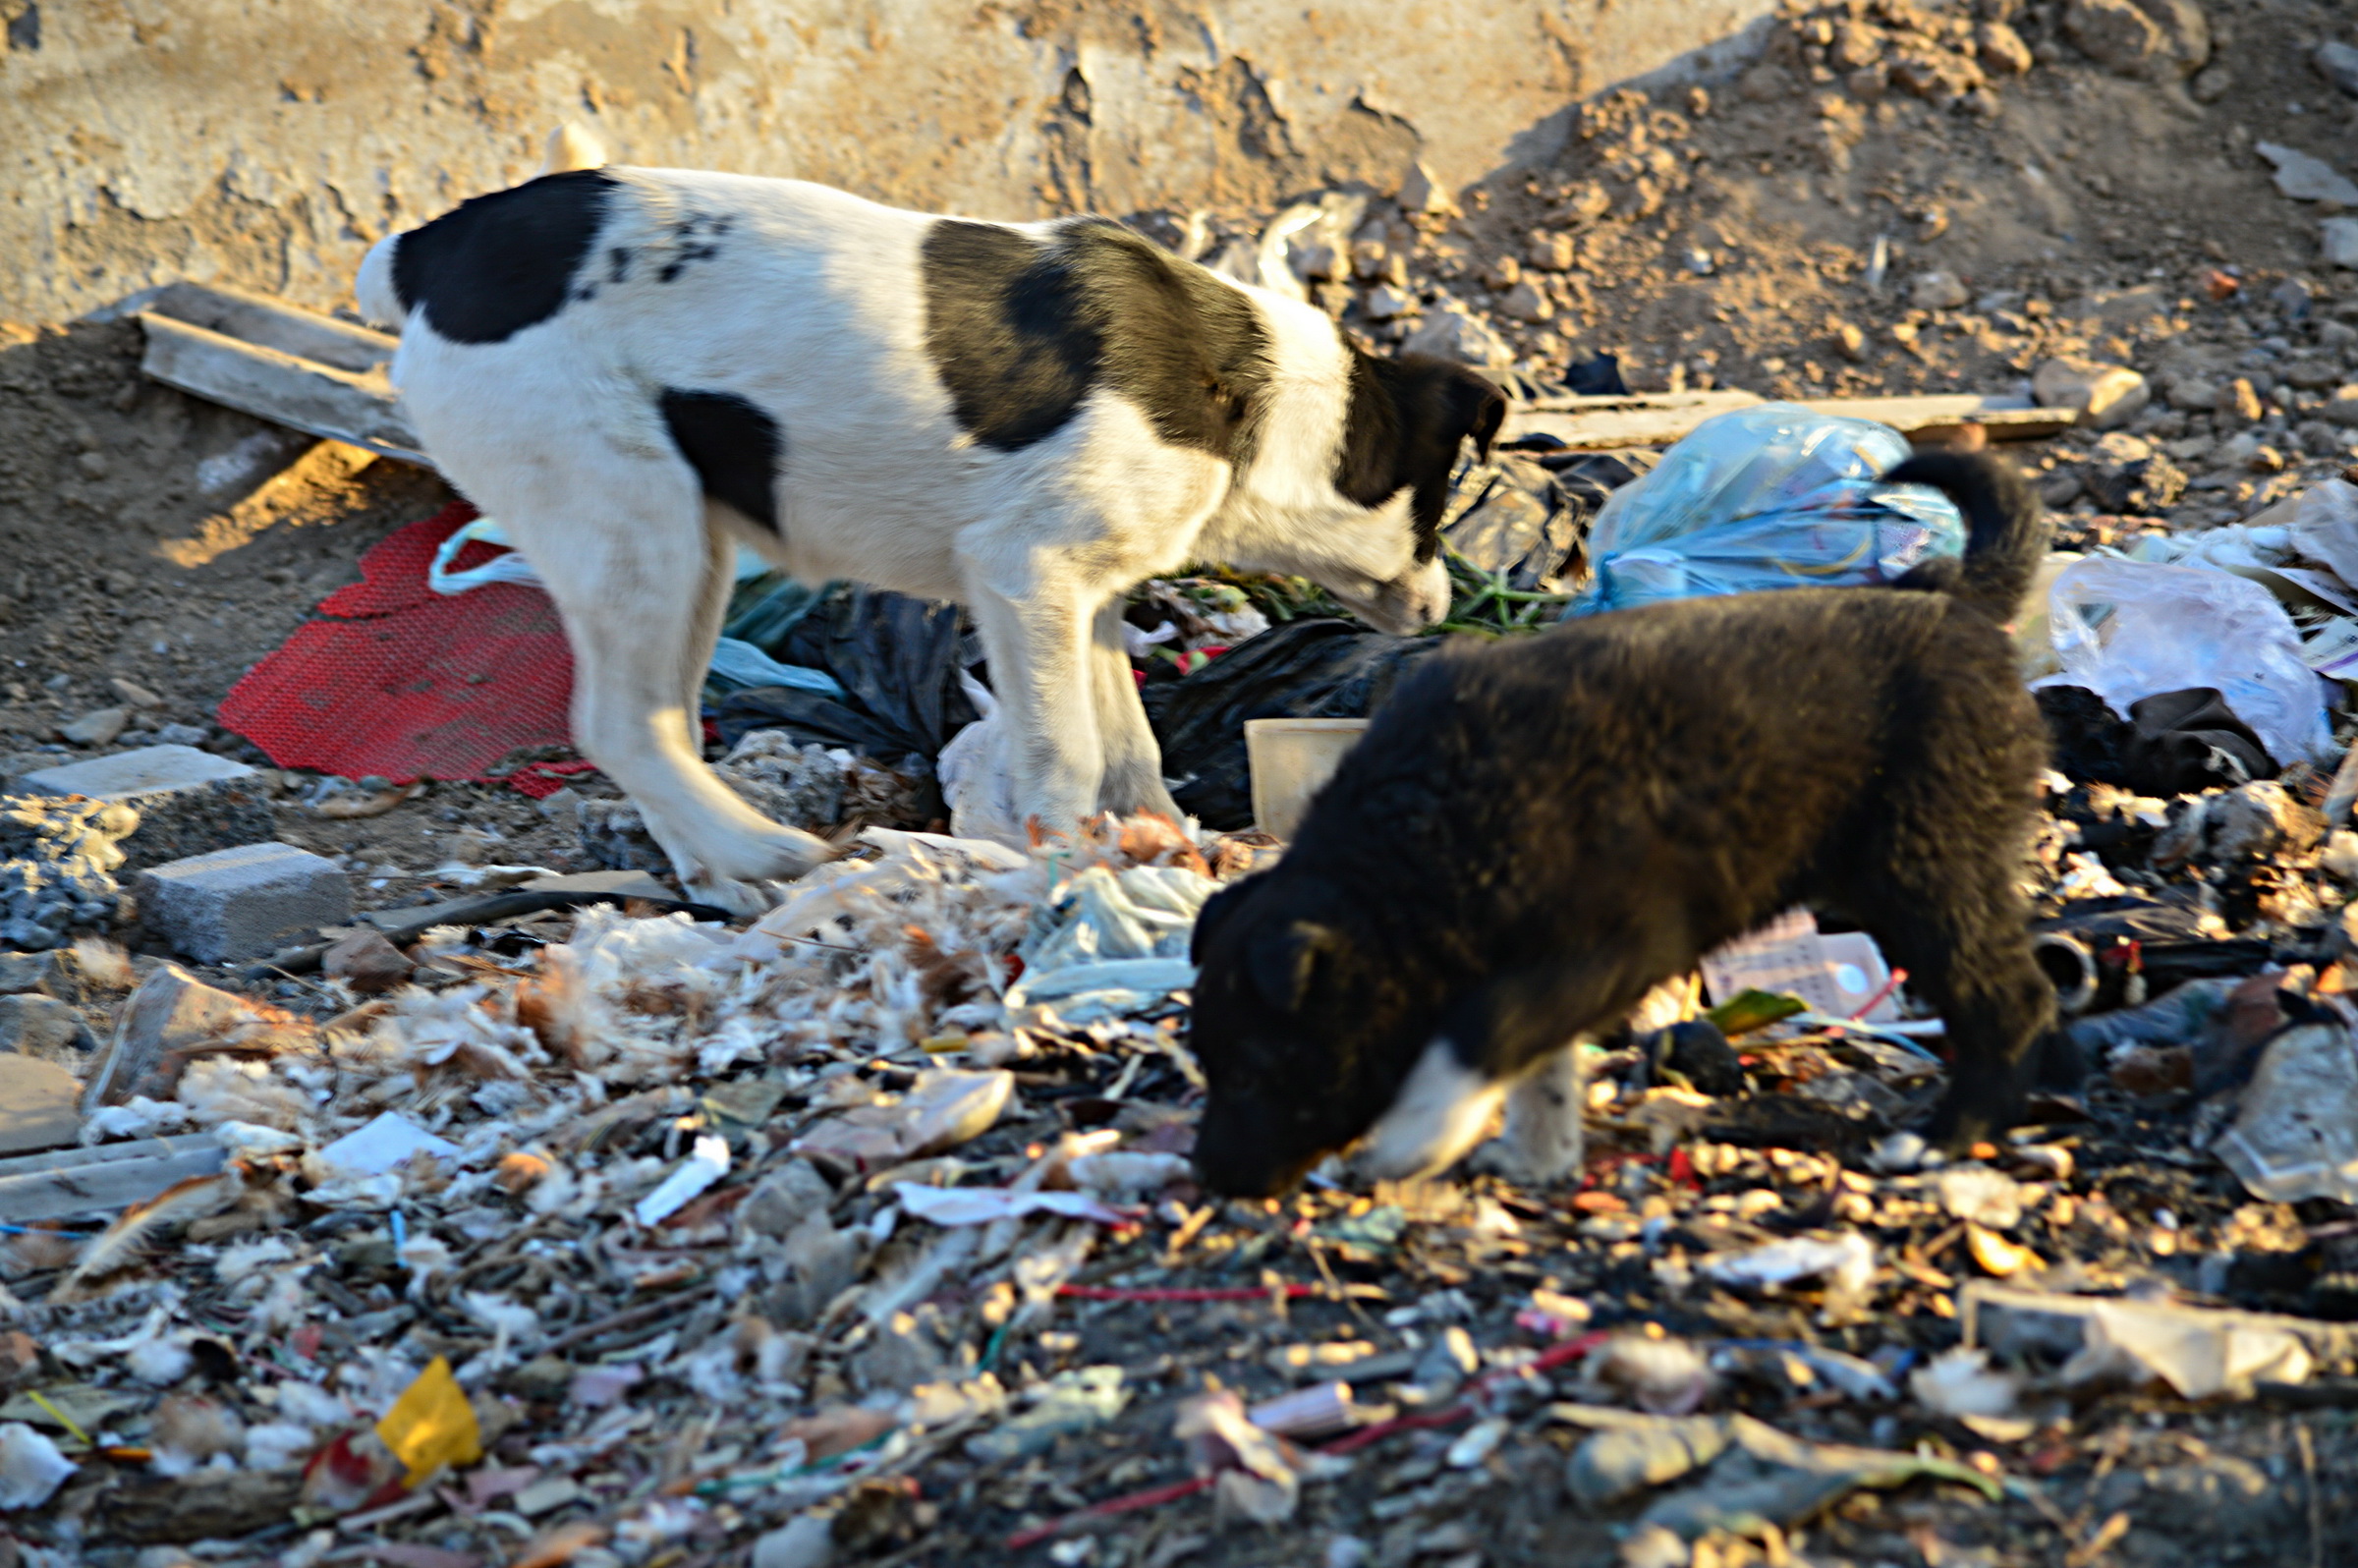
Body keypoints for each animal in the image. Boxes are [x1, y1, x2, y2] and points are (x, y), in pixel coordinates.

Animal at [358, 149, 1499, 905]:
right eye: (1440, 500)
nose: (1446, 608)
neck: (1256, 398)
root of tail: (425, 252)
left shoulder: (1085, 596)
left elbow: (1128, 746)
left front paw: (1169, 846)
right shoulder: (1026, 576)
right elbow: (1068, 753)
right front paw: (1074, 866)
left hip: (688, 546)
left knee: (663, 722)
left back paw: (720, 873)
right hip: (632, 525)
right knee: (619, 722)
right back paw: (762, 854)